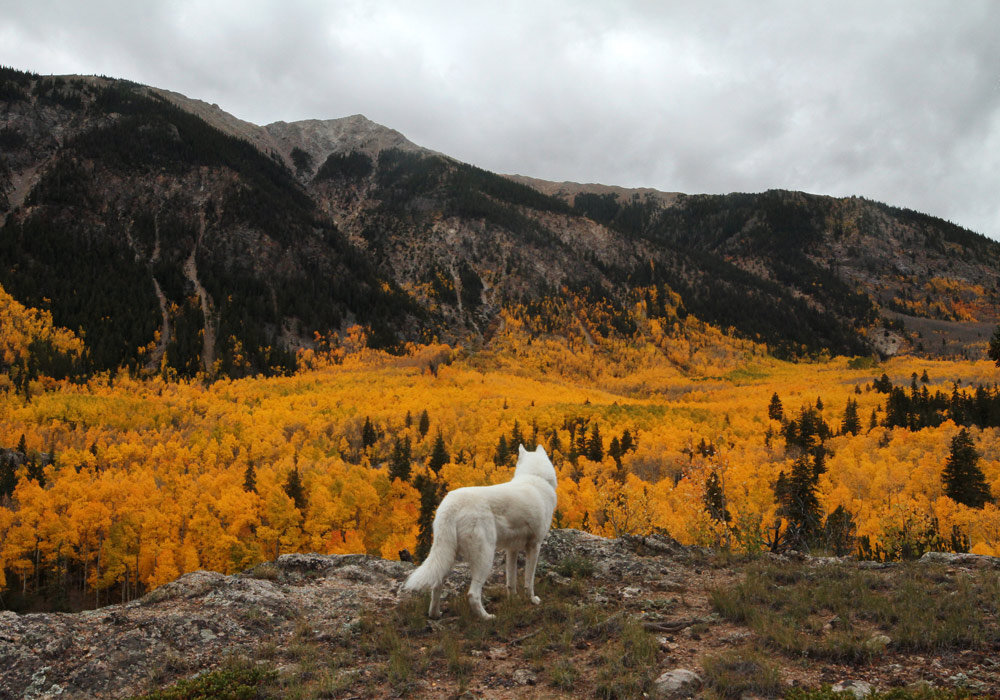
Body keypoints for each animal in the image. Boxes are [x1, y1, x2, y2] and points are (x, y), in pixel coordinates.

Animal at [402, 446, 560, 620]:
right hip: (485, 557)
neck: (535, 477)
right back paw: (487, 617)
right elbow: (529, 580)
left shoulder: (512, 550)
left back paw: (435, 614)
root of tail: (450, 505)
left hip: (447, 555)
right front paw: (532, 600)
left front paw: (514, 600)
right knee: (472, 594)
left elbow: (511, 581)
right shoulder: (534, 546)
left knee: (437, 585)